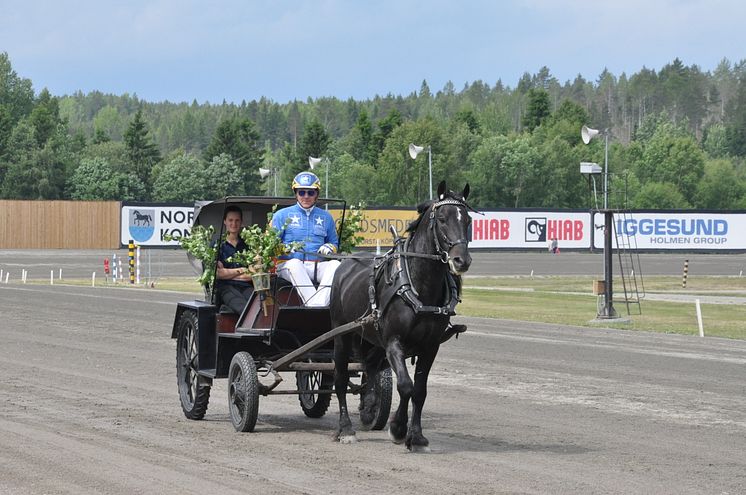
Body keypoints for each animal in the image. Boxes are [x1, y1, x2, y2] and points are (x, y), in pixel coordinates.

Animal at [326, 180, 470, 452]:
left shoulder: (430, 346)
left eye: (467, 219)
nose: (461, 260)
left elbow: (420, 391)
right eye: (442, 219)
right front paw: (398, 428)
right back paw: (346, 428)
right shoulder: (394, 342)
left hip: (371, 339)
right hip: (342, 334)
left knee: (371, 368)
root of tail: (345, 264)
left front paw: (417, 436)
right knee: (339, 379)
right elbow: (406, 386)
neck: (419, 286)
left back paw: (369, 405)